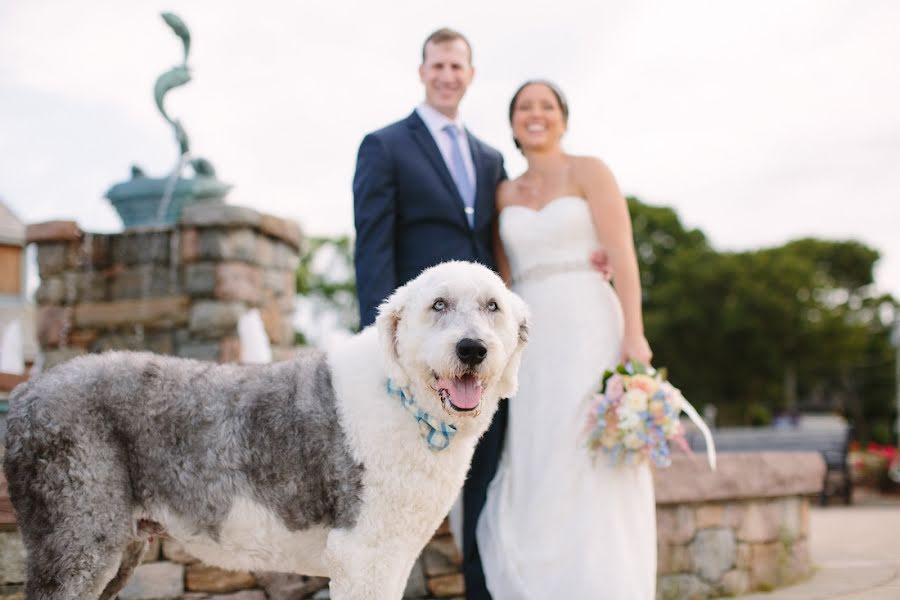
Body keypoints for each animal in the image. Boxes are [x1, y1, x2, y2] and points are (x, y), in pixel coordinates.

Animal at [1, 262, 528, 600]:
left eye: (493, 306)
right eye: (438, 304)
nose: (471, 348)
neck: (403, 397)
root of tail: (27, 391)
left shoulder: (392, 555)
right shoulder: (361, 555)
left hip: (117, 547)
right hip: (76, 540)